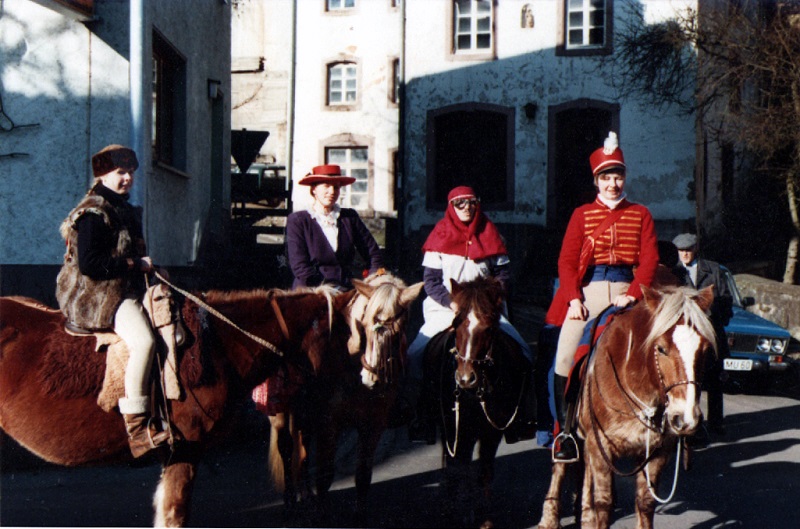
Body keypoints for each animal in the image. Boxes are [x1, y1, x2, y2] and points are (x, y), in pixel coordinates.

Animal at [266, 272, 422, 520]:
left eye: (398, 333)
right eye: (366, 324)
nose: (372, 379)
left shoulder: (372, 425)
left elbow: (363, 475)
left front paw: (359, 515)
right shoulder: (330, 424)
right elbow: (325, 474)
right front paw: (320, 514)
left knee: (303, 447)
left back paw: (305, 494)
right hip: (281, 410)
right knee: (286, 447)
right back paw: (290, 499)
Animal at [424, 274, 532, 524]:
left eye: (490, 328)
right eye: (456, 324)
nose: (465, 378)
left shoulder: (491, 432)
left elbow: (484, 471)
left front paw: (484, 519)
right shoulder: (458, 431)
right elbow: (459, 470)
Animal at [536, 284, 720, 528]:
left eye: (705, 350)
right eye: (661, 349)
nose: (686, 418)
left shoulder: (656, 453)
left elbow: (645, 502)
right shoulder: (601, 446)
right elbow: (603, 503)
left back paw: (584, 516)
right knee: (560, 467)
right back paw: (549, 518)